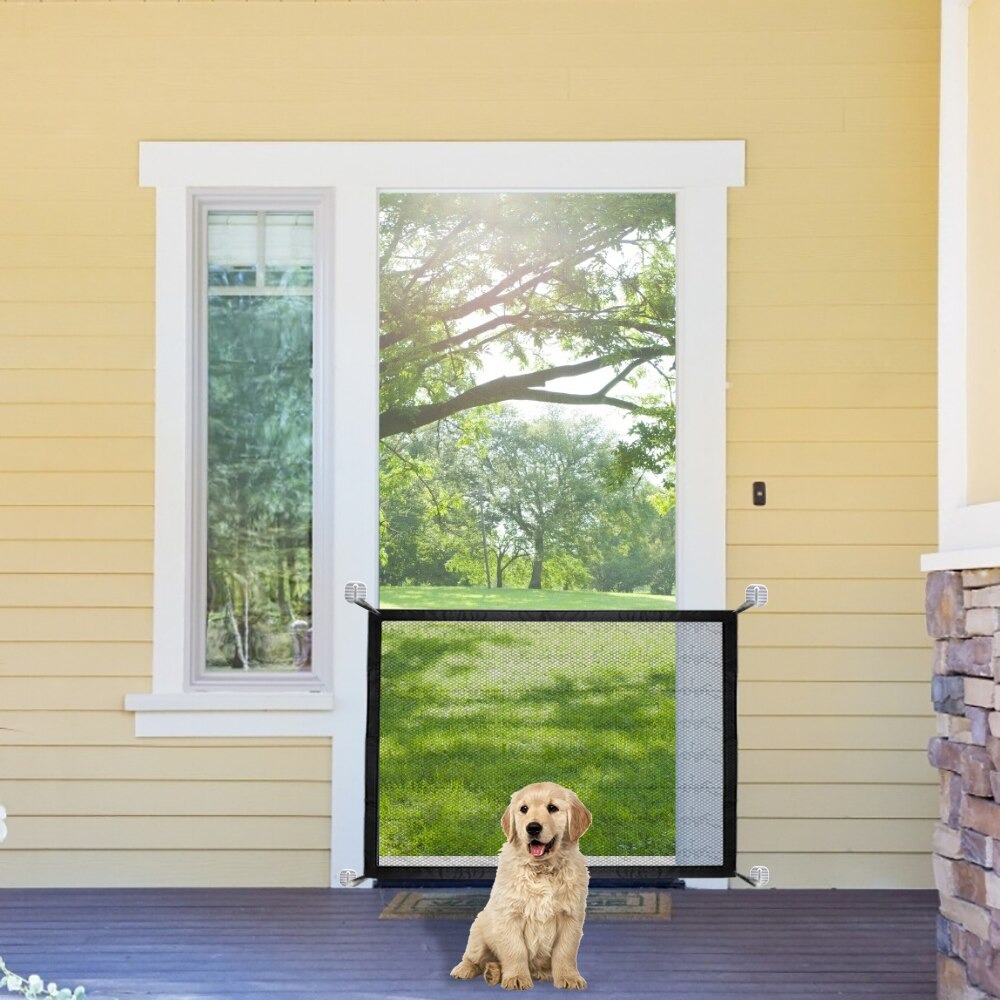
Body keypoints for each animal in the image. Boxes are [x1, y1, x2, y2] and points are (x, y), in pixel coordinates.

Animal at [450, 784, 588, 988]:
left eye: (552, 808)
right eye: (524, 809)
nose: (533, 827)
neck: (541, 870)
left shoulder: (570, 917)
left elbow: (565, 952)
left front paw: (569, 978)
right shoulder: (509, 915)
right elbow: (515, 950)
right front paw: (516, 978)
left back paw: (494, 972)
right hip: (478, 930)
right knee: (475, 958)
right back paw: (468, 970)